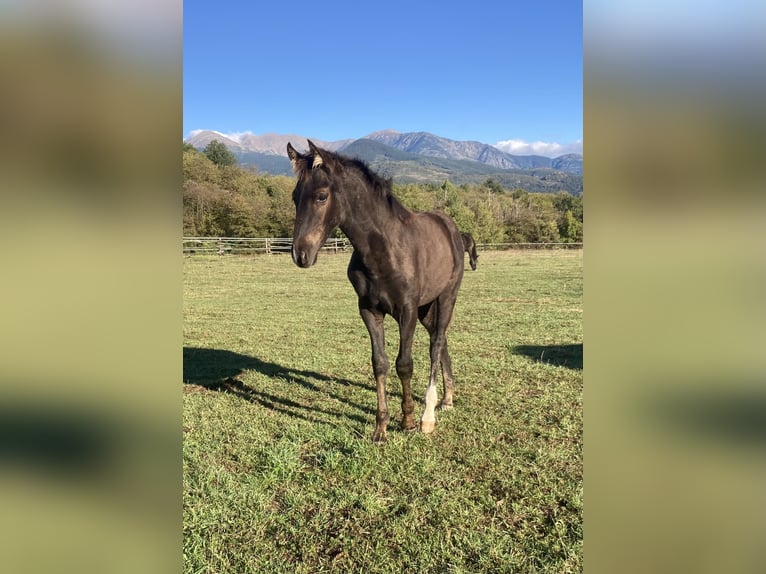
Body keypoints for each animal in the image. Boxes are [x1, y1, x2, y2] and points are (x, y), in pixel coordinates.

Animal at [292, 141, 464, 446]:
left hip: (445, 298)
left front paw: (408, 420)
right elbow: (380, 364)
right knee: (440, 339)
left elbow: (404, 364)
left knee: (435, 345)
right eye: (293, 197)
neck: (383, 249)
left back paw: (428, 416)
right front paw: (381, 428)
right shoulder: (370, 310)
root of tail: (451, 227)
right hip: (426, 309)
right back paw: (447, 399)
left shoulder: (406, 310)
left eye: (322, 196)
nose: (300, 254)